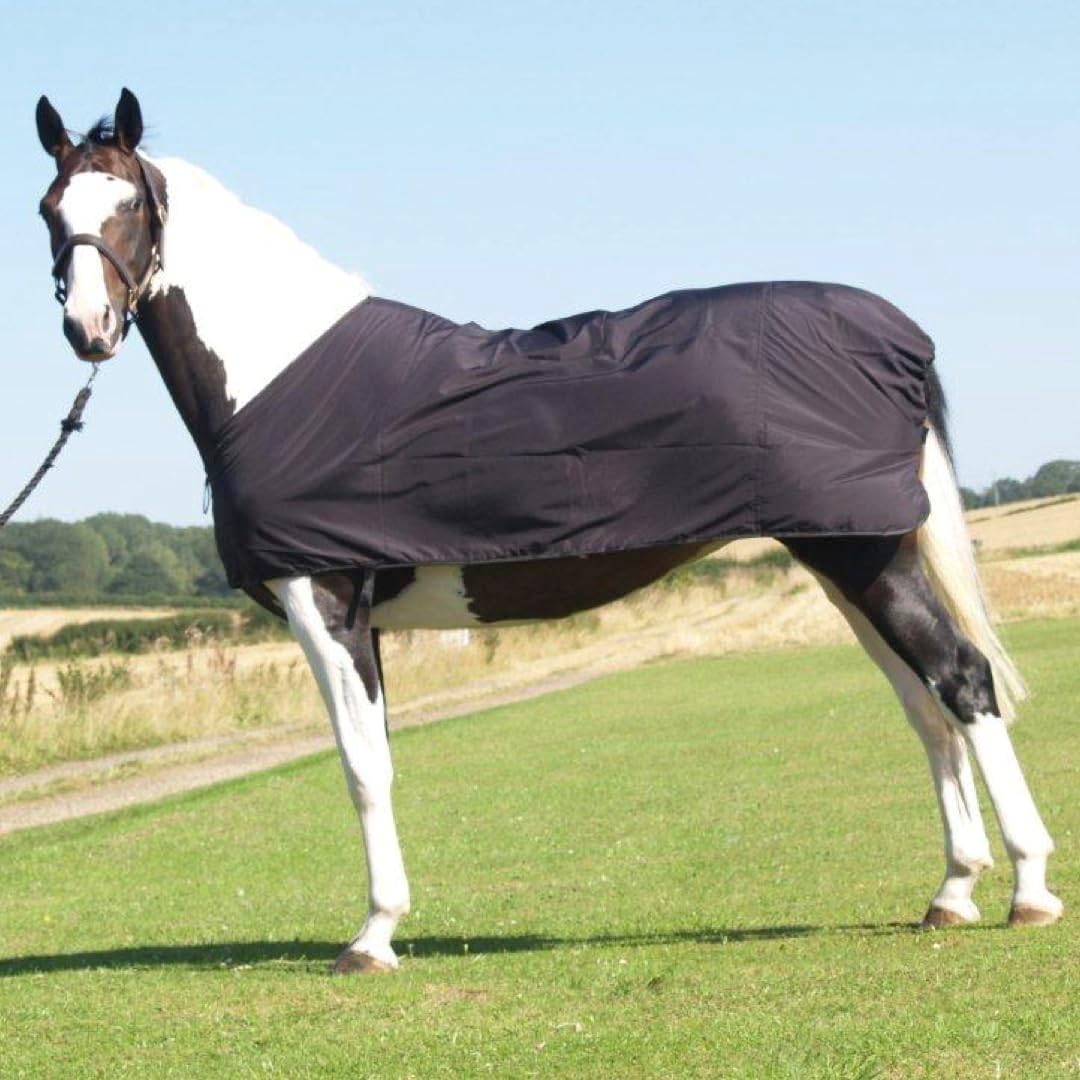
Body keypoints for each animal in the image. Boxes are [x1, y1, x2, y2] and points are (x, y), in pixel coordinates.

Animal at [33, 89, 1062, 975]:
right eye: (49, 208)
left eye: (130, 203)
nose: (88, 329)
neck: (282, 374)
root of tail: (896, 332)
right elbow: (378, 760)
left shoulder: (322, 603)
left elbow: (362, 769)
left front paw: (373, 937)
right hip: (848, 558)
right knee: (924, 705)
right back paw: (952, 892)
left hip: (866, 556)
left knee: (962, 682)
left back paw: (1029, 889)